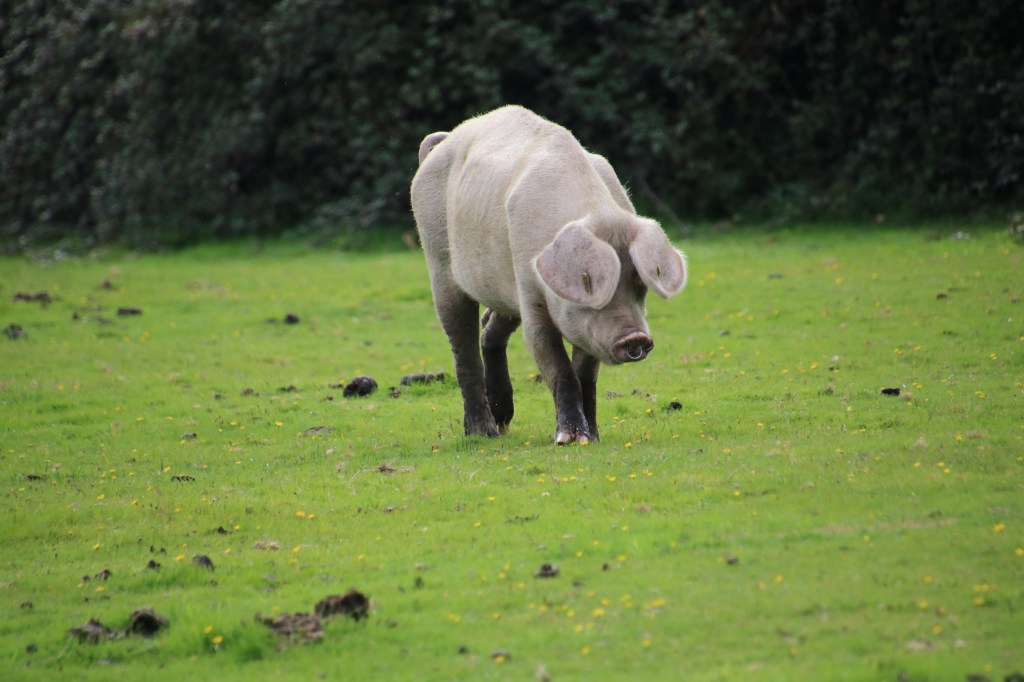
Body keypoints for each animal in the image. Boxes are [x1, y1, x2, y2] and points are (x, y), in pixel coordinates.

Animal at [410, 105, 687, 444]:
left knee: (490, 330)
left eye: (640, 285)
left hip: (505, 290)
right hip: (438, 257)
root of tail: (444, 141)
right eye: (590, 282)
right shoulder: (531, 291)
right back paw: (484, 434)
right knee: (462, 345)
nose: (635, 337)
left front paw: (592, 439)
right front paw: (568, 440)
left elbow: (585, 373)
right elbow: (556, 363)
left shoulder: (583, 326)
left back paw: (502, 422)